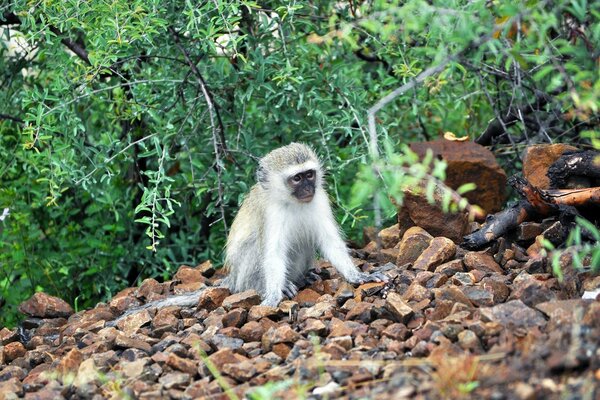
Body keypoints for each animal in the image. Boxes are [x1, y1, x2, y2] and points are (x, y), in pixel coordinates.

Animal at [223, 143, 386, 306]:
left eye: (309, 175)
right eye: (297, 178)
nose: (308, 189)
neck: (293, 202)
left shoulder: (320, 199)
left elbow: (330, 242)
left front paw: (357, 276)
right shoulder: (271, 213)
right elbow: (274, 253)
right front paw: (273, 296)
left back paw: (302, 279)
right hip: (241, 279)